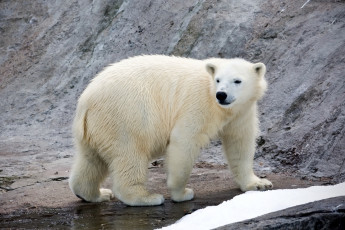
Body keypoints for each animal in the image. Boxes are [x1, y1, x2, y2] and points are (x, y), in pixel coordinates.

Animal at [69, 54, 272, 206]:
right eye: (218, 80)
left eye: (237, 81)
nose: (221, 94)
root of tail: (85, 101)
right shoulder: (198, 103)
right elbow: (184, 140)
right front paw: (182, 193)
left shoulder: (241, 112)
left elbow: (240, 143)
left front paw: (259, 183)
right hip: (126, 115)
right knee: (131, 154)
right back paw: (146, 197)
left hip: (96, 126)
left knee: (91, 160)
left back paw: (96, 194)